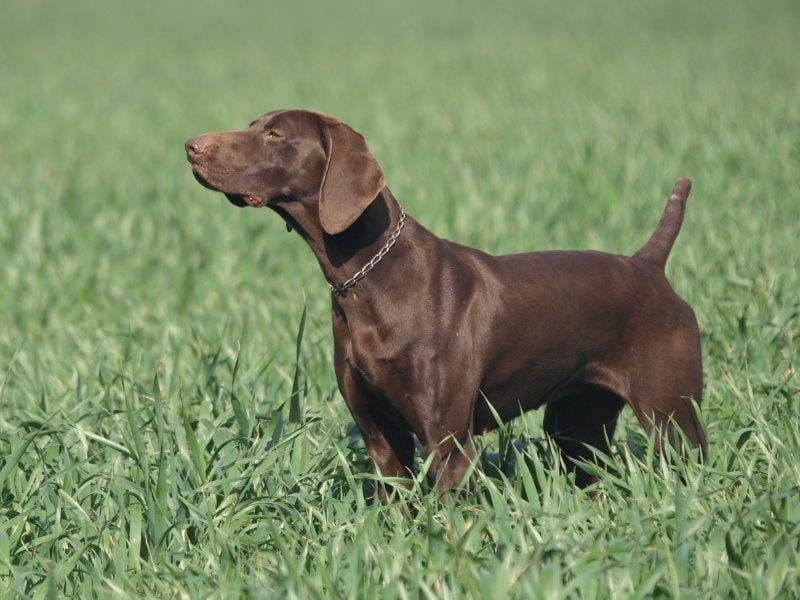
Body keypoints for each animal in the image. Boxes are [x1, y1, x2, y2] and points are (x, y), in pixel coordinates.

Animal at [186, 110, 708, 490]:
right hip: (577, 425)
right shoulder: (382, 439)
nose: (191, 145)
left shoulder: (449, 444)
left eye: (274, 134)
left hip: (672, 420)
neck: (369, 279)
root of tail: (648, 265)